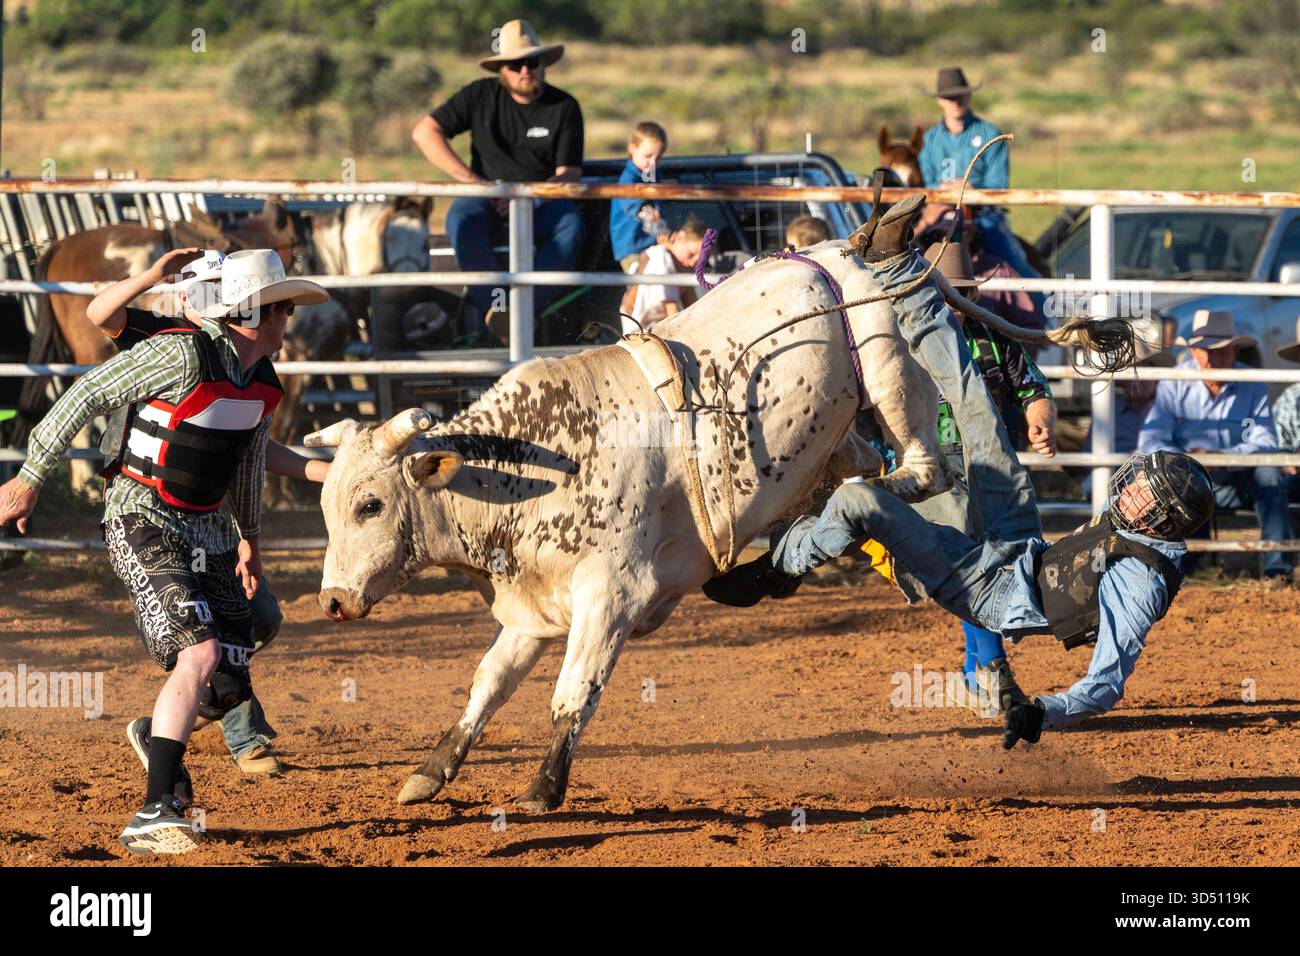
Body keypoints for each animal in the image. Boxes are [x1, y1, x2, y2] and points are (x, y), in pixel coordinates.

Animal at [305, 239, 1116, 812]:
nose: (335, 601)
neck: (529, 470)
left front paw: (541, 790)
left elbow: (574, 691)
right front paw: (430, 772)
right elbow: (487, 685)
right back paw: (774, 560)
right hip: (834, 426)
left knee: (915, 472)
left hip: (890, 372)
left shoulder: (611, 597)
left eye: (369, 505)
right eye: (328, 507)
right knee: (854, 470)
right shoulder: (536, 608)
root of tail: (846, 253)